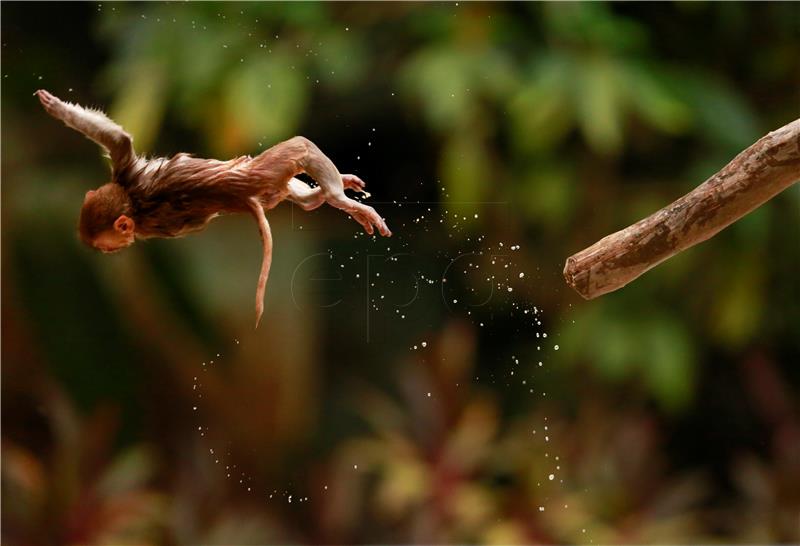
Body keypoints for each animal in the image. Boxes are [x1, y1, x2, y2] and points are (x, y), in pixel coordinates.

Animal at [36, 89, 392, 326]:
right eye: (108, 250)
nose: (112, 253)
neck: (134, 208)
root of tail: (243, 197)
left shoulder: (127, 176)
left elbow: (119, 141)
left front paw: (57, 109)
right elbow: (119, 142)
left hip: (259, 174)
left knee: (299, 151)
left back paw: (336, 196)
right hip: (262, 175)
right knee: (298, 156)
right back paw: (329, 196)